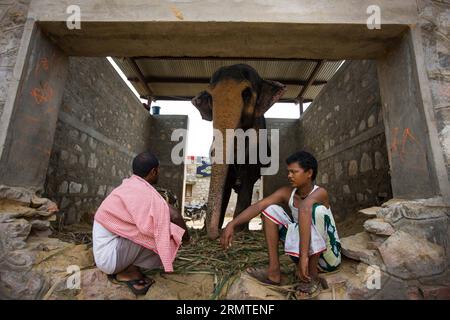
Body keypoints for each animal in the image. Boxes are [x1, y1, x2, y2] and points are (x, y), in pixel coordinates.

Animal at [192, 63, 286, 239]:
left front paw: (237, 231)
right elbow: (226, 180)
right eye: (210, 97)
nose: (215, 234)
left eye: (247, 93)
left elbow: (248, 175)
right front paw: (208, 230)